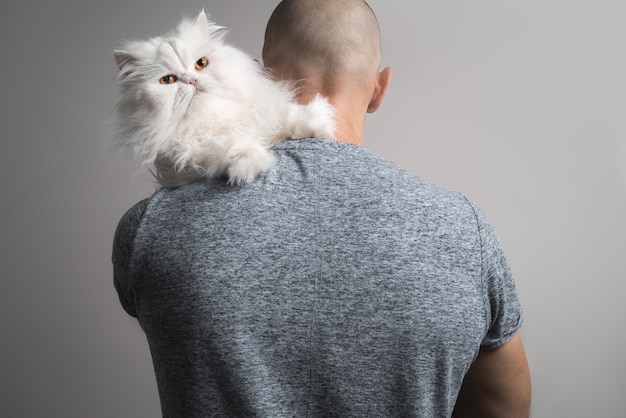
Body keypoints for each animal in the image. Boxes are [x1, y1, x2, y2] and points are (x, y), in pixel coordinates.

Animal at [109, 9, 334, 187]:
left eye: (201, 63)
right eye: (168, 80)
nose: (191, 80)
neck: (216, 121)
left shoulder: (260, 113)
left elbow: (281, 116)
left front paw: (320, 122)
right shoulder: (186, 159)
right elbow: (229, 146)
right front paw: (251, 164)